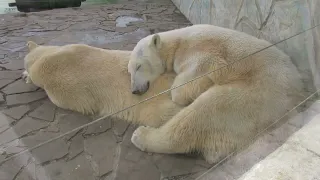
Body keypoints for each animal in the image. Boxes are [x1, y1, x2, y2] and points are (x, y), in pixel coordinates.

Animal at [128, 24, 304, 164]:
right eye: (129, 71)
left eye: (138, 66)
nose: (134, 90)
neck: (177, 42)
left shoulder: (201, 51)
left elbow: (191, 79)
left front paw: (183, 92)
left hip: (258, 94)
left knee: (205, 110)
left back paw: (142, 135)